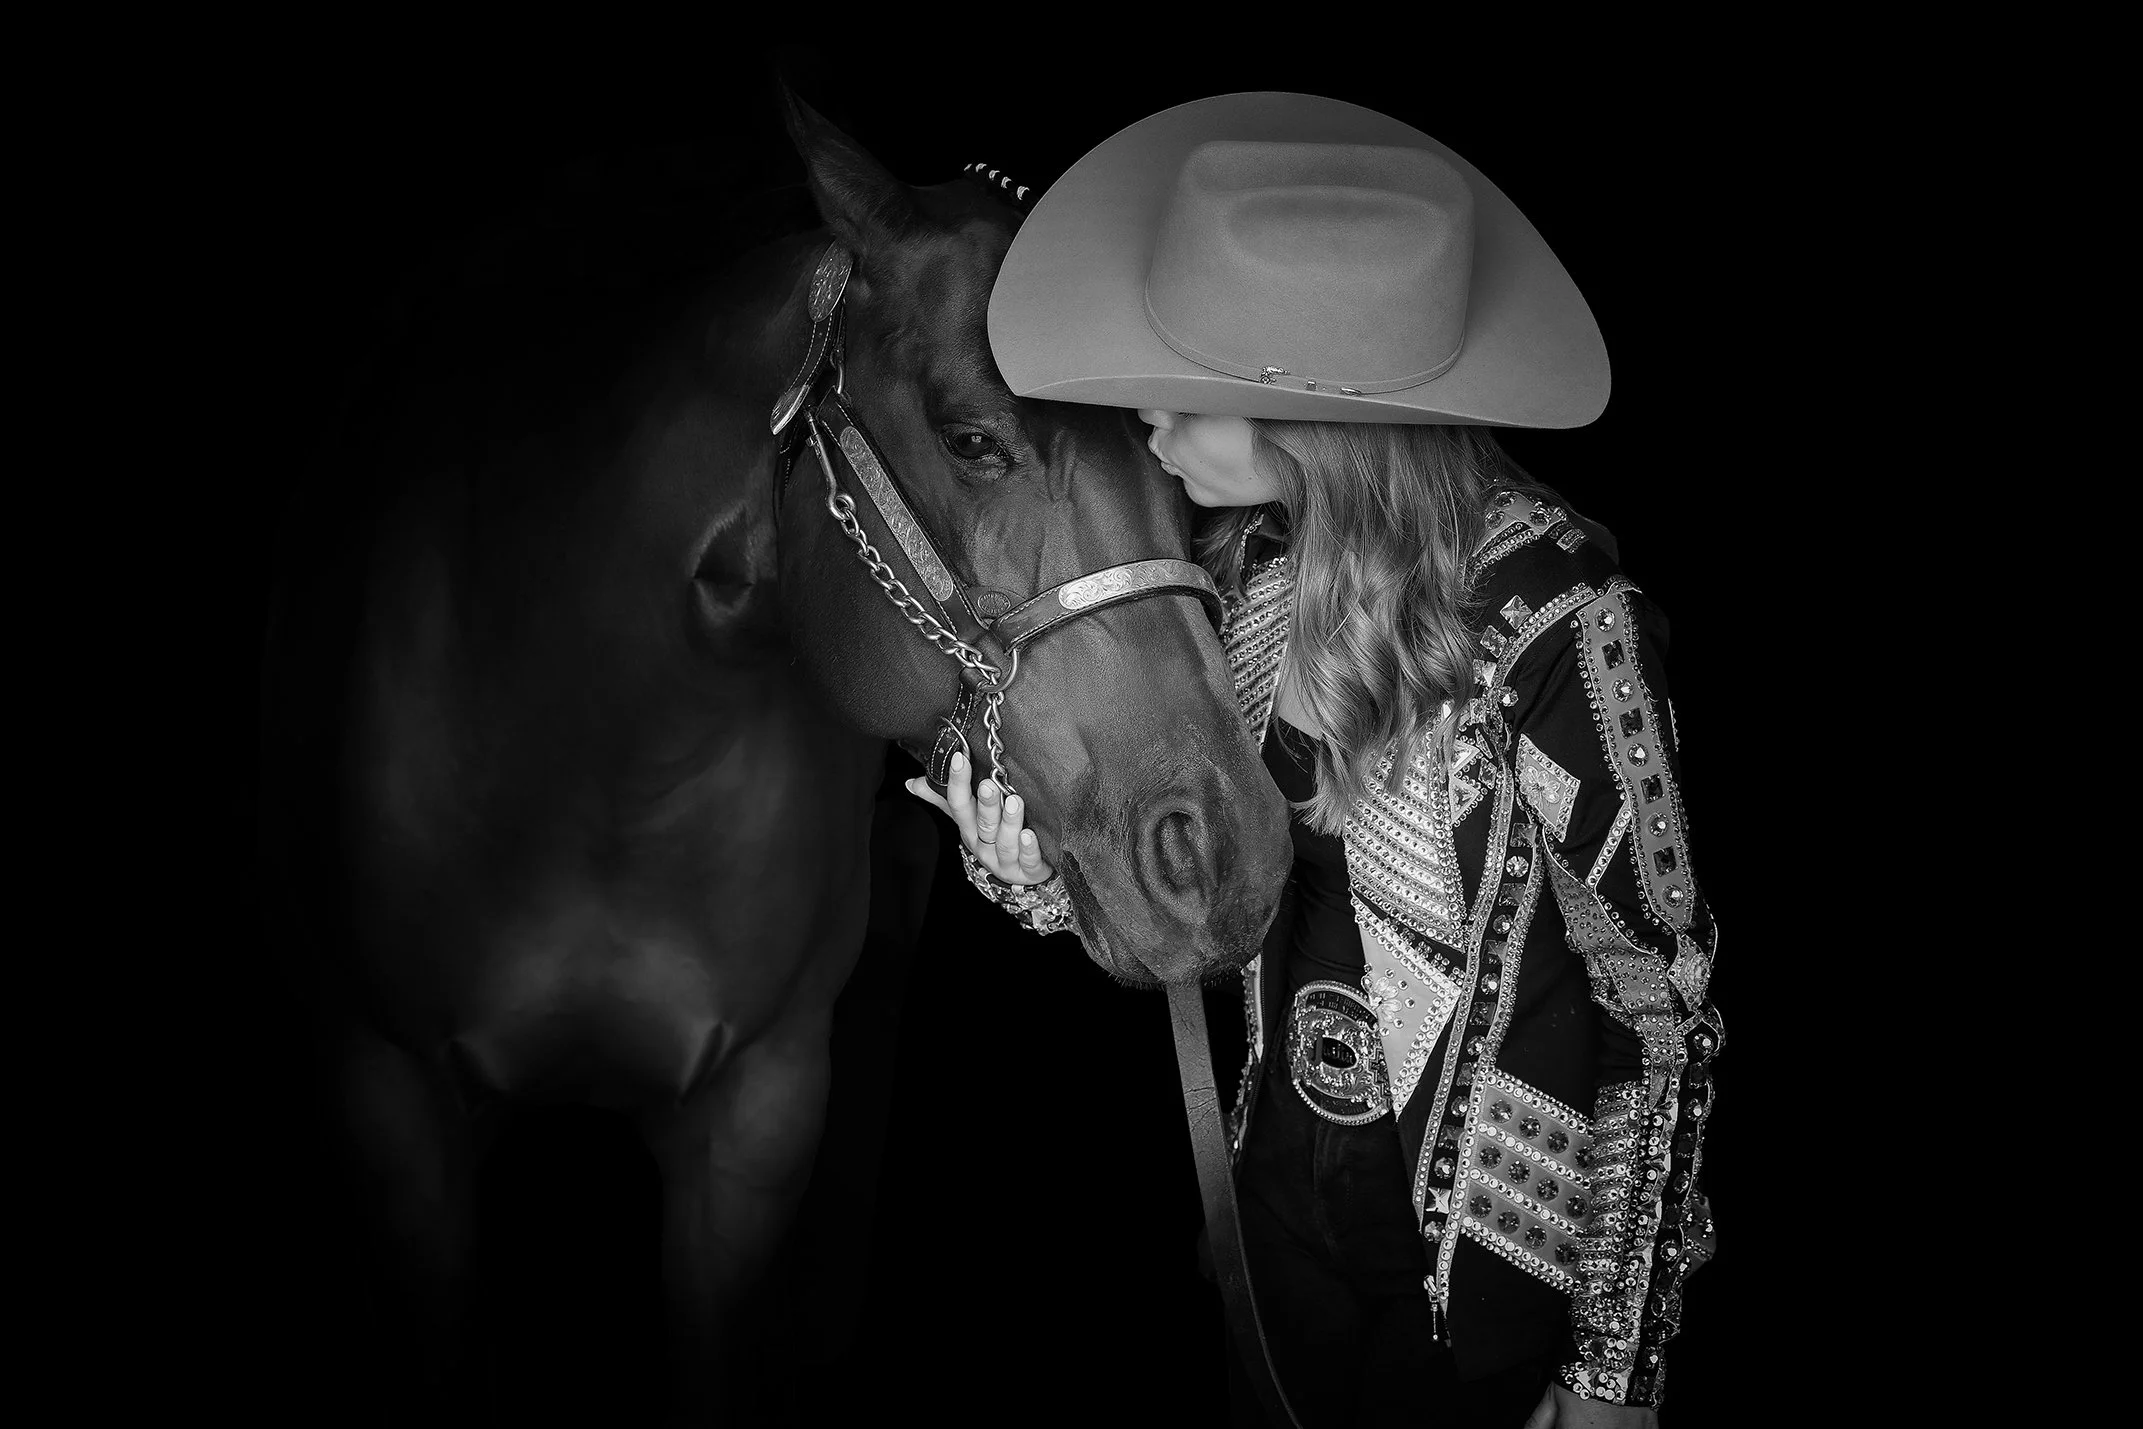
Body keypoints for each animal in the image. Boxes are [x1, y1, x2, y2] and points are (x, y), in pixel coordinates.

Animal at [257, 93, 1292, 1421]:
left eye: (1174, 464)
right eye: (971, 437)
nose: (1225, 854)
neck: (597, 748)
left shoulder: (758, 1117)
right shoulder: (389, 1104)